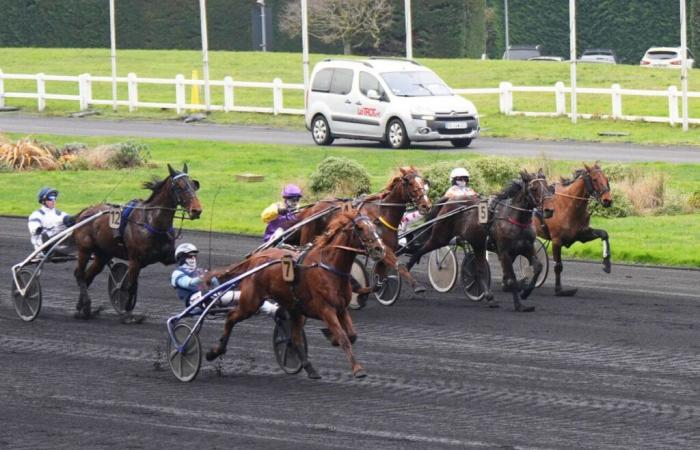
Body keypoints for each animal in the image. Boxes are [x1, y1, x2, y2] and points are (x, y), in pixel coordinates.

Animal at [74, 163, 202, 322]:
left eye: (193, 184)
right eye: (179, 186)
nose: (196, 210)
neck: (151, 222)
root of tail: (86, 211)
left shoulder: (167, 257)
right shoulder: (135, 260)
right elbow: (130, 285)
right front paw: (128, 314)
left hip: (102, 255)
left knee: (88, 277)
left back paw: (81, 308)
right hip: (84, 249)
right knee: (79, 274)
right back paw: (85, 305)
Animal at [202, 207, 388, 380]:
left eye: (374, 226)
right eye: (360, 228)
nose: (379, 249)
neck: (329, 268)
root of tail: (256, 258)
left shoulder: (341, 308)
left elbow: (352, 335)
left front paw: (332, 338)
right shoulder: (326, 309)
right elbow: (343, 337)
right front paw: (358, 369)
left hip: (294, 307)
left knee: (293, 334)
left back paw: (310, 368)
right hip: (251, 301)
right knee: (231, 317)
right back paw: (214, 352)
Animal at [286, 166, 430, 296]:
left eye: (423, 181)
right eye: (409, 182)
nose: (426, 205)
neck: (383, 213)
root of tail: (312, 208)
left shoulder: (382, 250)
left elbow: (381, 277)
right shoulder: (384, 248)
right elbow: (399, 266)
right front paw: (417, 286)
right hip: (308, 237)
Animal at [536, 163, 612, 298]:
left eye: (606, 178)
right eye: (594, 179)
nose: (608, 200)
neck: (569, 205)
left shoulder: (582, 235)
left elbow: (604, 234)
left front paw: (607, 263)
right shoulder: (556, 240)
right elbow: (558, 266)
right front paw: (559, 290)